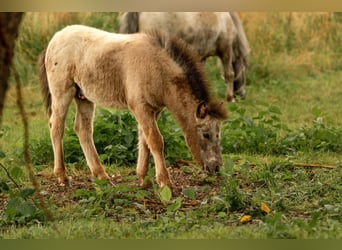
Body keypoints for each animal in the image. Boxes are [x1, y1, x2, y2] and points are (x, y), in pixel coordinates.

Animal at [38, 25, 228, 189]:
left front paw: (144, 179)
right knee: (56, 127)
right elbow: (156, 141)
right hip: (62, 93)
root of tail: (55, 38)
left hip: (84, 97)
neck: (158, 68)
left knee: (82, 129)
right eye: (206, 134)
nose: (217, 168)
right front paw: (164, 182)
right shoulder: (141, 107)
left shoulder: (153, 110)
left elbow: (145, 140)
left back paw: (101, 175)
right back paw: (62, 176)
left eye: (219, 134)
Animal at [119, 12, 250, 102]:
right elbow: (229, 74)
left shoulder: (200, 55)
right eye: (244, 70)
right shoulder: (226, 50)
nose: (243, 95)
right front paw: (230, 98)